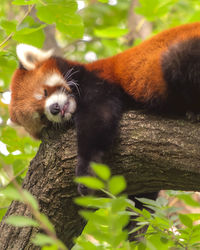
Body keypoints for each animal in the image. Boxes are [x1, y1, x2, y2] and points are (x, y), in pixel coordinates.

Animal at [9, 21, 200, 194]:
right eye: (41, 116)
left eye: (45, 92)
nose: (54, 109)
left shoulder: (98, 82)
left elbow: (98, 120)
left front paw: (86, 171)